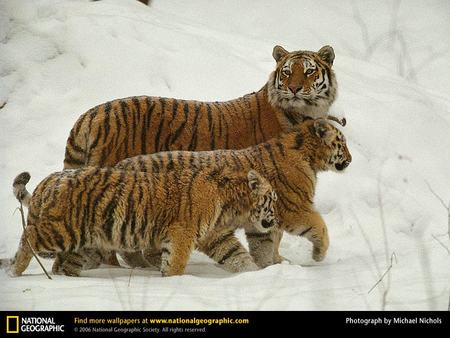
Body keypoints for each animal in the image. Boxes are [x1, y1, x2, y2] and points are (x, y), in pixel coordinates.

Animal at [62, 44, 338, 266]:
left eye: (309, 71)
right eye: (288, 72)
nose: (294, 89)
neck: (303, 114)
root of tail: (89, 116)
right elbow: (275, 230)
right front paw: (277, 262)